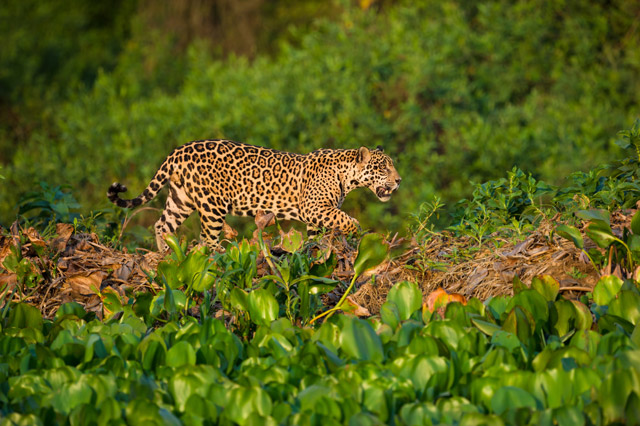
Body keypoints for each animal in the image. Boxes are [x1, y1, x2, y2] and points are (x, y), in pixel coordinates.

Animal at [107, 139, 401, 251]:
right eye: (383, 167)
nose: (399, 181)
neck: (347, 175)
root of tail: (179, 150)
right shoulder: (316, 208)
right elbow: (349, 220)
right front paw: (359, 235)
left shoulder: (317, 215)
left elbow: (316, 237)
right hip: (212, 205)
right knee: (207, 238)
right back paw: (220, 254)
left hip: (181, 199)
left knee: (162, 224)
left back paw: (166, 255)